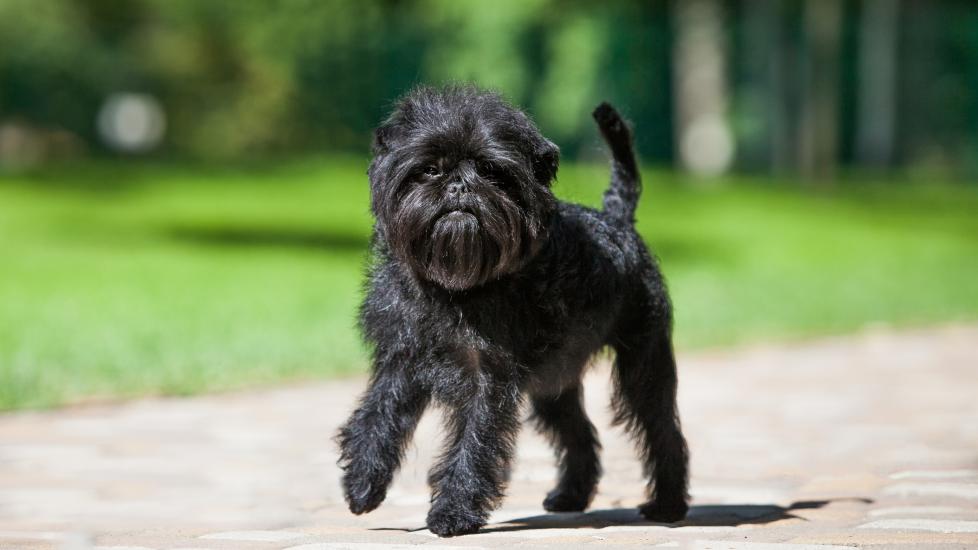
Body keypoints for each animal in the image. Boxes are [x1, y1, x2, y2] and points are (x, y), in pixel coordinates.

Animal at [336, 86, 688, 540]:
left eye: (490, 171)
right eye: (429, 170)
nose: (459, 185)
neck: (453, 288)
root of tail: (617, 218)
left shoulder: (487, 376)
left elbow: (474, 441)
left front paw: (453, 512)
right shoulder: (401, 359)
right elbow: (378, 416)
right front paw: (363, 482)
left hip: (642, 361)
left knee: (661, 428)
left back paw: (668, 504)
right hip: (554, 380)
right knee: (578, 431)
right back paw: (571, 496)